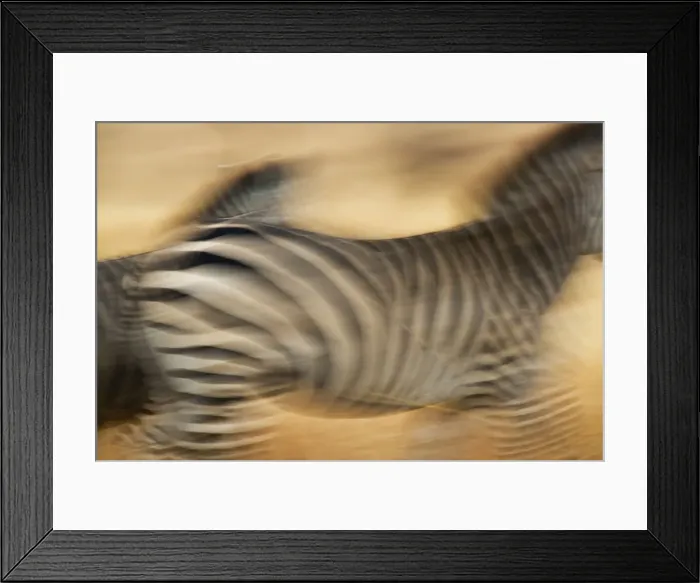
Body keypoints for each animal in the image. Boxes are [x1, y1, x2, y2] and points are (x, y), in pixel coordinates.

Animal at [111, 122, 603, 460]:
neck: (520, 262)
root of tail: (162, 254)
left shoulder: (451, 403)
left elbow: (430, 454)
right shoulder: (511, 387)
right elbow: (546, 450)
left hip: (187, 384)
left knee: (149, 445)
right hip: (217, 376)